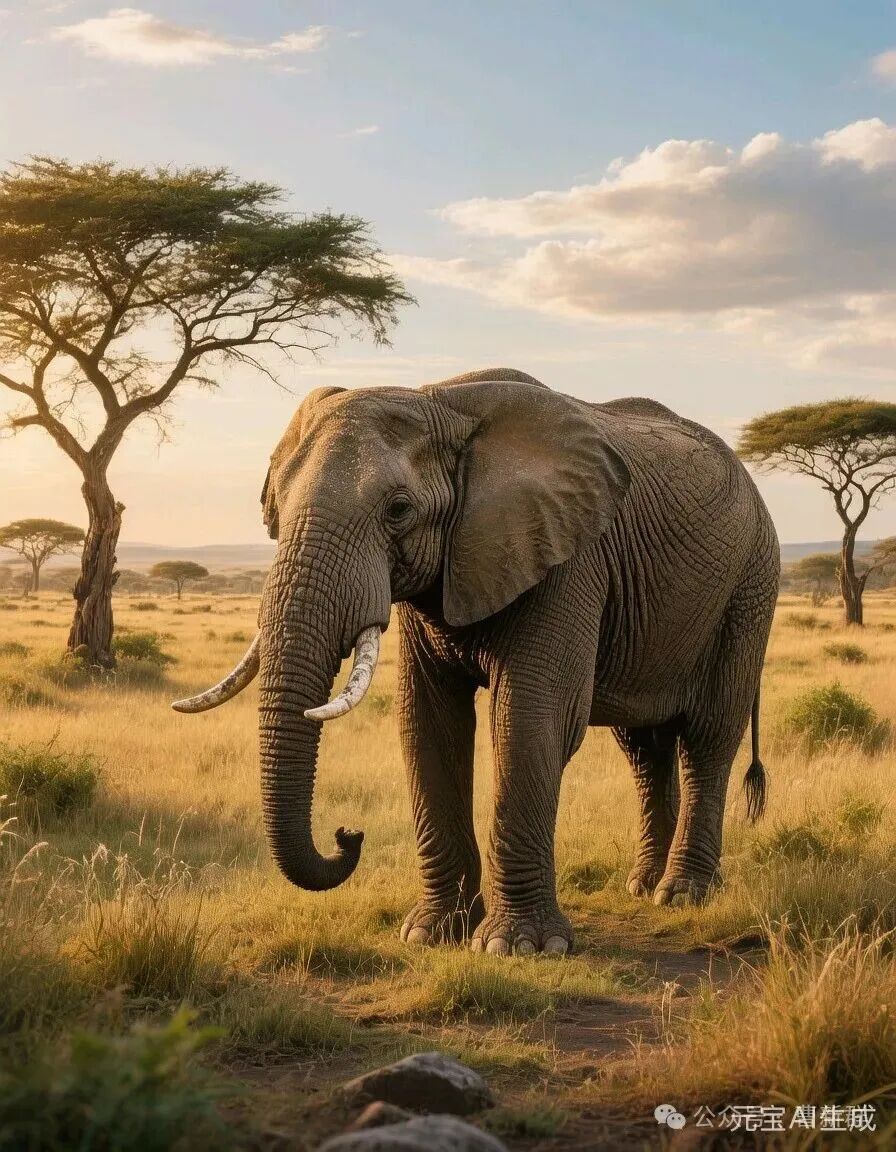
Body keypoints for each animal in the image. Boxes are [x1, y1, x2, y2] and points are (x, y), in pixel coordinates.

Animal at [173, 368, 779, 956]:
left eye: (398, 510)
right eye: (273, 509)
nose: (349, 836)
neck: (438, 399)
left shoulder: (567, 558)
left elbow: (529, 720)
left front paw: (521, 947)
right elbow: (427, 723)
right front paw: (433, 934)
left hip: (750, 587)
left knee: (708, 735)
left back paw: (682, 895)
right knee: (643, 747)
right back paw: (643, 885)